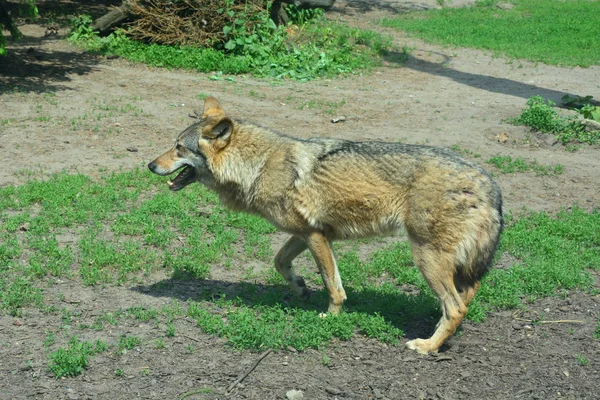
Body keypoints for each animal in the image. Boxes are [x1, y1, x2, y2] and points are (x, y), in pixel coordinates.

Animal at [149, 97, 502, 354]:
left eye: (179, 148)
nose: (150, 164)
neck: (257, 166)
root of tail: (490, 184)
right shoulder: (305, 233)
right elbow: (280, 262)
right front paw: (300, 288)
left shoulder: (315, 236)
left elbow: (334, 286)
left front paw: (328, 319)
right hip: (452, 264)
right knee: (466, 296)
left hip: (426, 258)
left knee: (455, 307)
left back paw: (427, 346)